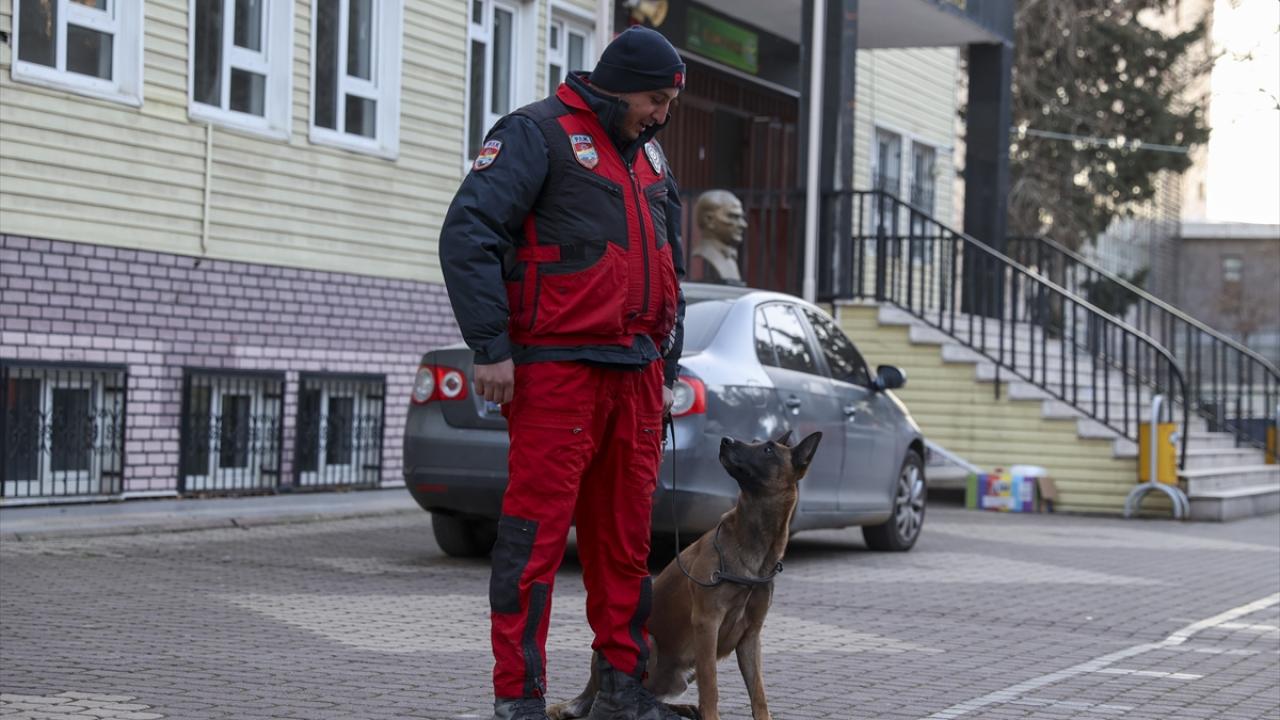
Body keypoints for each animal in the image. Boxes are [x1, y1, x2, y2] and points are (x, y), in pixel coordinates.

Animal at [549, 430, 822, 720]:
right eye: (756, 443)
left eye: (768, 449)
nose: (725, 440)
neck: (753, 545)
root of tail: (589, 687)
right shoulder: (707, 624)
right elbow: (711, 686)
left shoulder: (751, 637)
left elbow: (758, 693)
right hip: (651, 643)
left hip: (684, 672)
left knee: (656, 694)